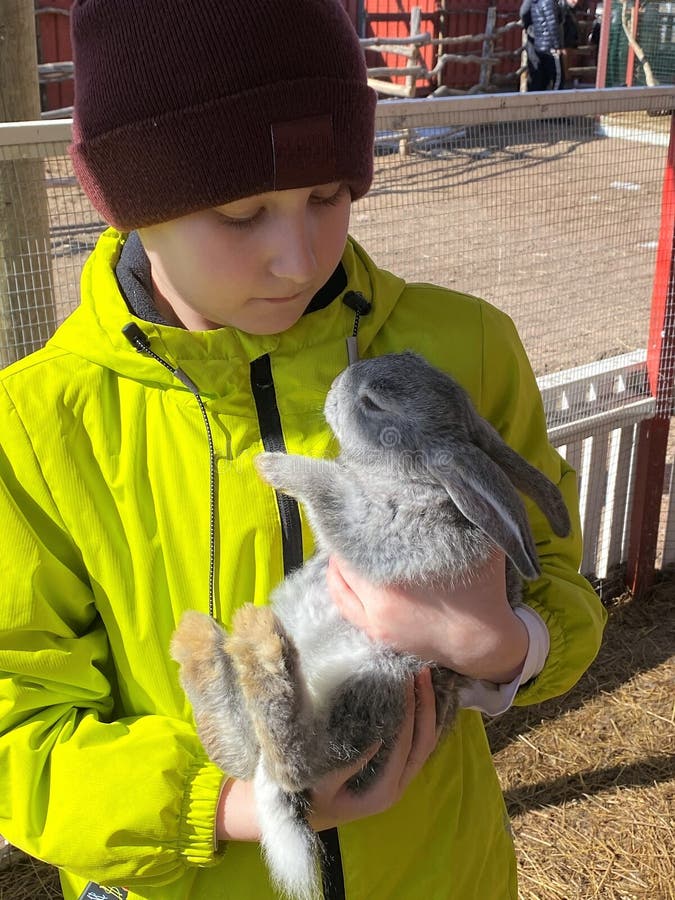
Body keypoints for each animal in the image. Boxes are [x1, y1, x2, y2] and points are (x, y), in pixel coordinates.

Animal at [170, 352, 572, 900]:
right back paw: (203, 643)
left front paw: (273, 466)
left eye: (374, 403)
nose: (337, 383)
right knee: (241, 753)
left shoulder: (381, 532)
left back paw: (252, 647)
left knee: (293, 761)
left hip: (373, 694)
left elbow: (332, 489)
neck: (418, 485)